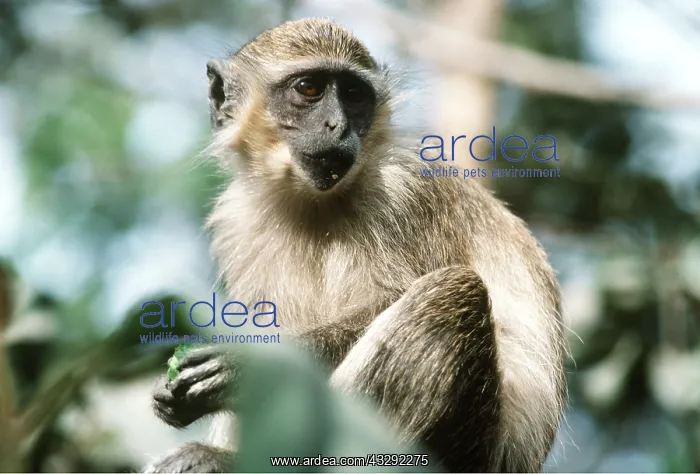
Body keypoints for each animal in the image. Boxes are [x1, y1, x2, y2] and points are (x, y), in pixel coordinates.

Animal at [143, 18, 568, 473]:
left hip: (467, 449)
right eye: (309, 89)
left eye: (353, 95)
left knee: (452, 293)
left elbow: (385, 299)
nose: (338, 126)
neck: (313, 203)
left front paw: (246, 367)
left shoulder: (401, 192)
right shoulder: (236, 221)